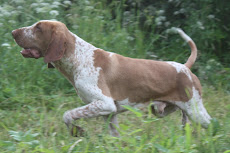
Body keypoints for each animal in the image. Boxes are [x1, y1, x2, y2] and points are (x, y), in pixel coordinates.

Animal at [11, 20, 211, 136]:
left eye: (38, 28)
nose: (13, 32)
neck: (79, 58)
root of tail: (184, 67)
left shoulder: (104, 104)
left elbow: (67, 114)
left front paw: (77, 131)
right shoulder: (110, 113)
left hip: (196, 112)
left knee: (212, 125)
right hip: (164, 110)